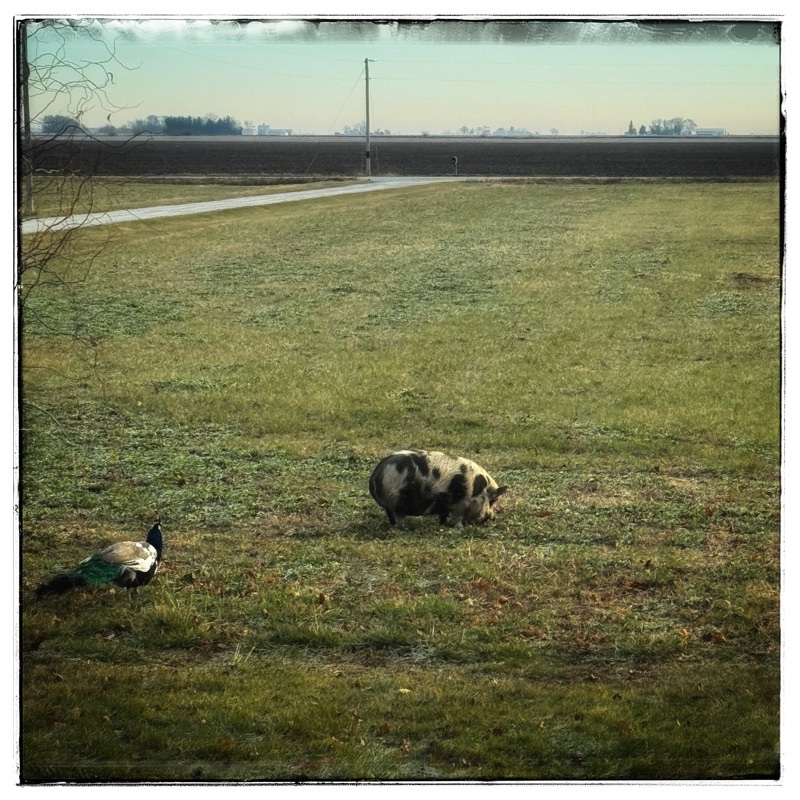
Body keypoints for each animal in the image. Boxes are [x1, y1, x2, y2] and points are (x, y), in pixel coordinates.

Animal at [368, 449, 507, 527]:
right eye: (492, 501)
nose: (492, 518)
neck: (476, 490)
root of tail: (376, 476)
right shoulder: (461, 504)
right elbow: (458, 518)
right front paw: (459, 528)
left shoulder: (445, 505)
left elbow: (443, 516)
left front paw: (443, 524)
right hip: (397, 500)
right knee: (398, 517)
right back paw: (404, 528)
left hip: (389, 505)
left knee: (390, 516)